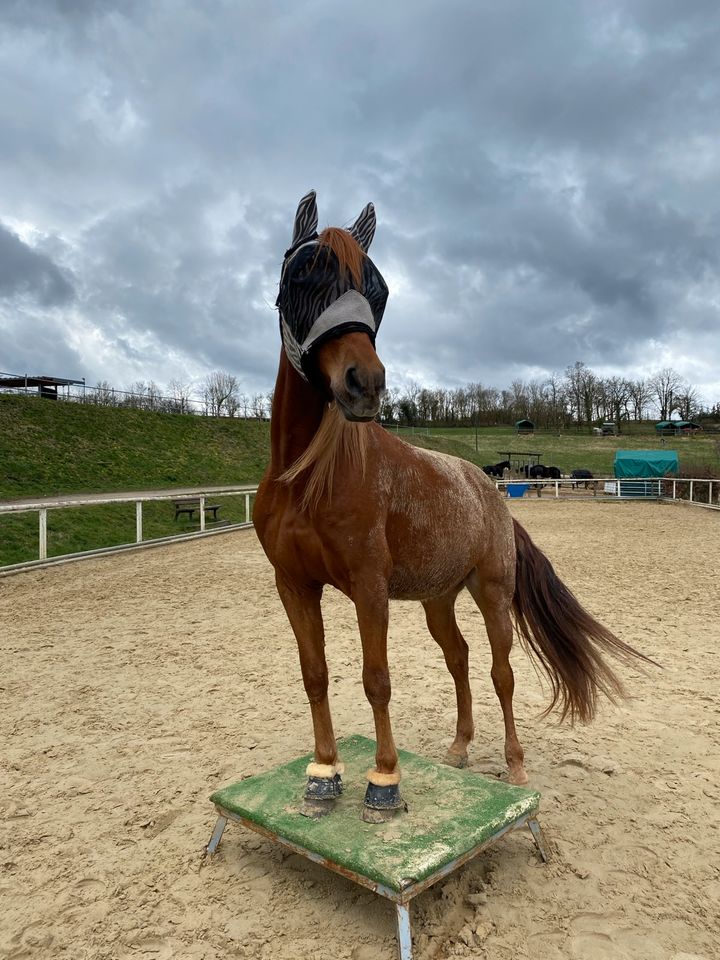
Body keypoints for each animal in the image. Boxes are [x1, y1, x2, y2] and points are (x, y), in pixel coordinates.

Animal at [252, 191, 648, 820]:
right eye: (302, 273)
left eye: (379, 289)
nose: (364, 383)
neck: (307, 476)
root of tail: (491, 496)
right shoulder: (293, 584)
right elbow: (315, 674)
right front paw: (323, 774)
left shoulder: (369, 587)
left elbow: (377, 678)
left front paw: (384, 781)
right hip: (438, 598)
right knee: (458, 657)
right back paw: (460, 748)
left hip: (493, 594)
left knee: (501, 672)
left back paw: (514, 765)